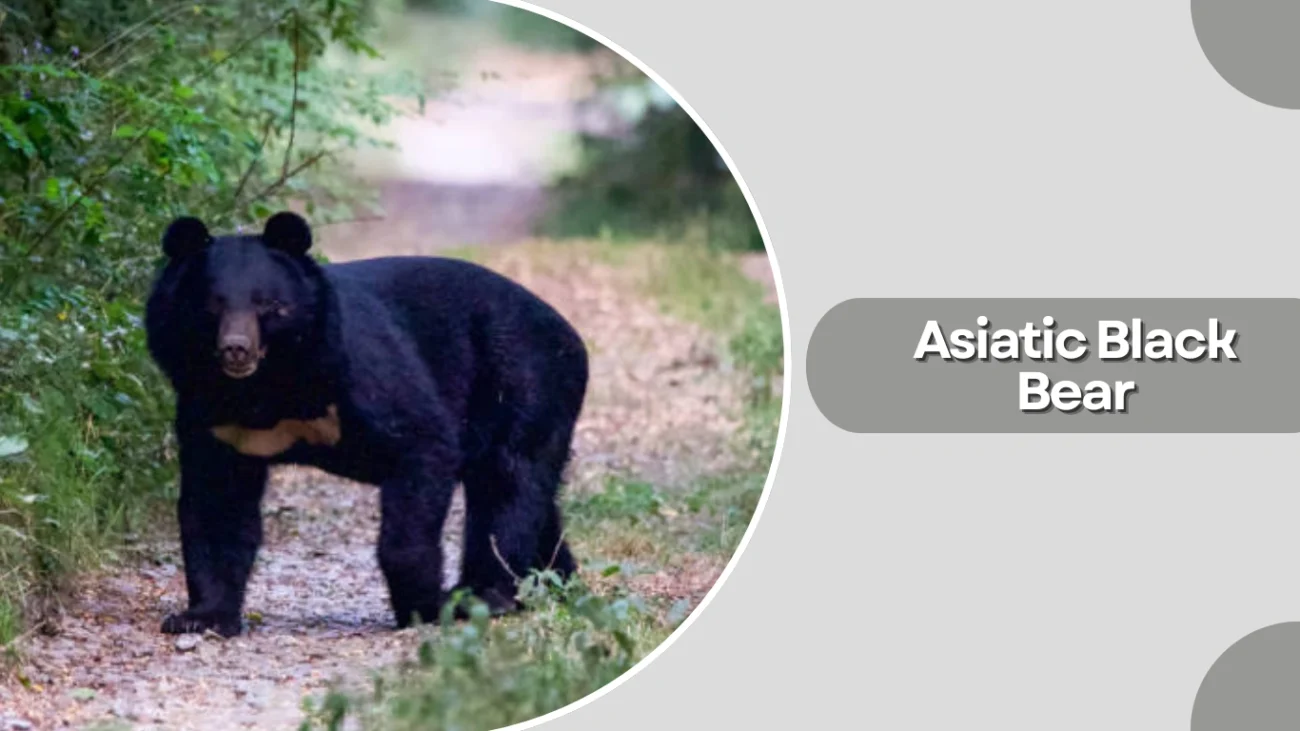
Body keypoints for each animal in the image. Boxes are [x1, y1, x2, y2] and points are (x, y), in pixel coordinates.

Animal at [144, 211, 588, 637]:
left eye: (267, 304)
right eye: (212, 305)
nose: (236, 349)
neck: (265, 386)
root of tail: (568, 332)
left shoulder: (359, 375)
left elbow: (420, 444)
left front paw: (422, 604)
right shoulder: (214, 418)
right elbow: (216, 505)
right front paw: (201, 618)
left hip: (523, 380)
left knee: (507, 486)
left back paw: (486, 594)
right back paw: (555, 583)